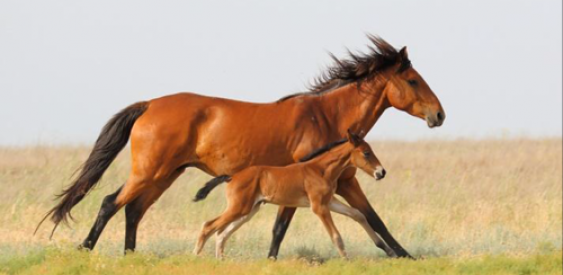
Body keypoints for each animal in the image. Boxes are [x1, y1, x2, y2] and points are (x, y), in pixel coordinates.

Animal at [194, 133, 392, 260]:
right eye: (366, 153)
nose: (381, 172)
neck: (320, 169)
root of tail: (232, 177)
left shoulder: (329, 202)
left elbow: (358, 214)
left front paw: (385, 248)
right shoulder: (318, 207)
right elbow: (336, 235)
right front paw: (346, 260)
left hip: (249, 210)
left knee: (221, 233)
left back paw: (220, 260)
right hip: (239, 208)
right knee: (208, 226)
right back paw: (196, 256)